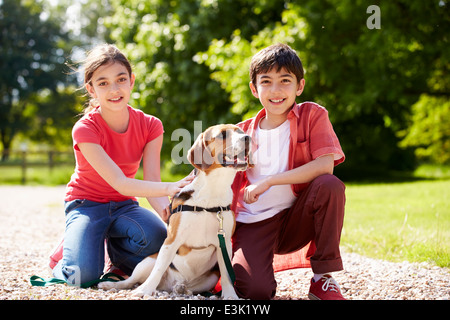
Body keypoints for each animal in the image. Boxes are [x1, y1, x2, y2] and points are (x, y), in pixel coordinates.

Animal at [98, 124, 251, 298]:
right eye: (222, 135)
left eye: (240, 131)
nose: (248, 138)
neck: (213, 190)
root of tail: (168, 285)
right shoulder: (171, 240)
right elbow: (158, 270)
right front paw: (143, 291)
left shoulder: (224, 243)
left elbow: (226, 272)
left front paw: (230, 294)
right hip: (147, 261)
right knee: (131, 280)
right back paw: (112, 284)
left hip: (211, 277)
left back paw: (182, 288)